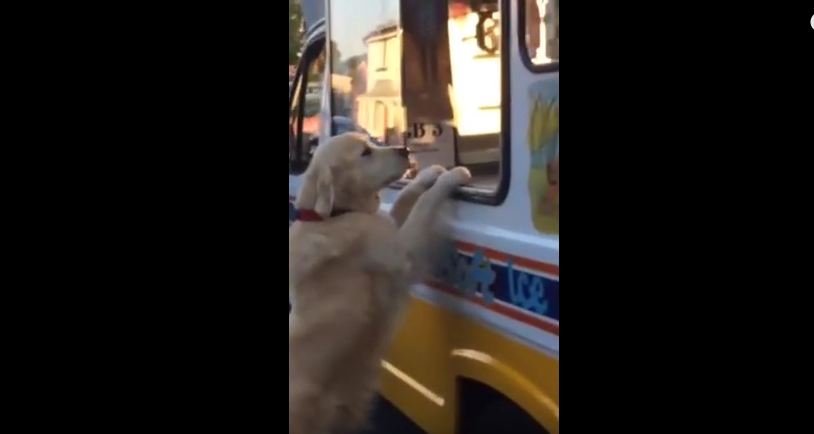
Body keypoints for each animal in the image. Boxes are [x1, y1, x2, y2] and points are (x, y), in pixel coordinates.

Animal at [292, 132, 472, 434]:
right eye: (365, 153)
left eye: (373, 142)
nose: (404, 149)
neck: (335, 214)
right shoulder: (403, 252)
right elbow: (423, 205)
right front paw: (451, 177)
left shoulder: (387, 227)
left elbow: (405, 198)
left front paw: (429, 174)